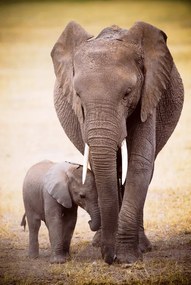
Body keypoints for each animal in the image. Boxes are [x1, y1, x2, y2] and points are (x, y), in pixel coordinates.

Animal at [50, 21, 184, 264]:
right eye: (78, 95)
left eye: (127, 93)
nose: (108, 257)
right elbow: (103, 165)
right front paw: (114, 251)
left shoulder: (149, 95)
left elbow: (140, 162)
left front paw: (127, 258)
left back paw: (143, 246)